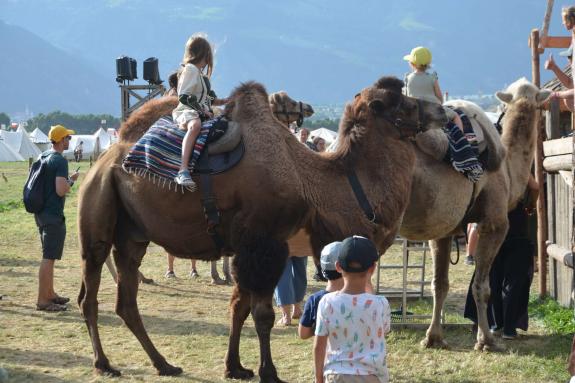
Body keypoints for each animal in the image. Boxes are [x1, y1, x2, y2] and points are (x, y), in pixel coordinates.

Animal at [77, 76, 446, 382]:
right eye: (404, 102)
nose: (441, 110)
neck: (320, 186)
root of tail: (105, 158)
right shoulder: (265, 243)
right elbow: (262, 313)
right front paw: (269, 372)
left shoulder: (248, 249)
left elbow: (238, 308)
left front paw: (235, 367)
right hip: (97, 216)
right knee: (89, 293)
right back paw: (104, 364)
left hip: (132, 236)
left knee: (126, 302)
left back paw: (163, 364)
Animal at [390, 79, 552, 354]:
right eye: (542, 102)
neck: (508, 169)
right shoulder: (495, 222)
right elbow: (482, 287)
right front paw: (486, 340)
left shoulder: (442, 231)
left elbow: (439, 284)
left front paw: (433, 337)